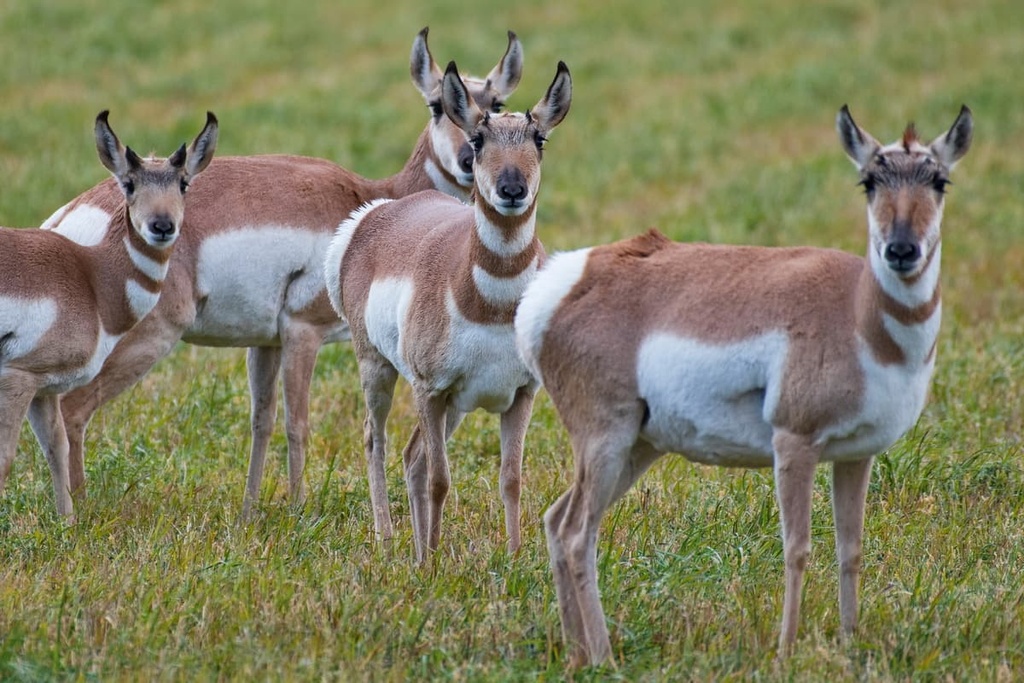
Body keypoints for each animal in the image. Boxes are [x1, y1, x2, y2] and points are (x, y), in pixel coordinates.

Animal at [1, 110, 218, 517]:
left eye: (183, 184)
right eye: (129, 184)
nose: (162, 226)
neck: (91, 278)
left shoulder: (44, 387)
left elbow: (56, 448)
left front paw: (67, 524)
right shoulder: (17, 378)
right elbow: (6, 459)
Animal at [39, 29, 524, 520]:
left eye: (498, 104)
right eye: (437, 105)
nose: (468, 162)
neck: (373, 197)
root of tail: (67, 220)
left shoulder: (266, 342)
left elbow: (262, 420)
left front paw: (250, 509)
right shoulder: (302, 331)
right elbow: (298, 423)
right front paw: (300, 510)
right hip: (149, 337)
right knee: (75, 409)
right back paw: (82, 510)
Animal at [325, 60, 572, 561]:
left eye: (539, 139)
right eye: (478, 140)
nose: (512, 189)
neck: (494, 308)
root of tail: (374, 216)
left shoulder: (520, 394)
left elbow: (511, 479)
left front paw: (514, 558)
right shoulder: (429, 390)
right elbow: (441, 479)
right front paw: (434, 567)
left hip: (454, 405)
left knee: (412, 457)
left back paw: (420, 548)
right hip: (379, 369)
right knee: (377, 441)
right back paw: (391, 540)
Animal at [515, 105, 972, 666]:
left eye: (939, 181)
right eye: (869, 181)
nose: (901, 250)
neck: (859, 314)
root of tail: (558, 283)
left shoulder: (855, 455)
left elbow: (851, 548)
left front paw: (850, 643)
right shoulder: (794, 444)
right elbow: (798, 548)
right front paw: (787, 651)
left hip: (636, 448)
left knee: (557, 522)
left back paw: (577, 654)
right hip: (606, 440)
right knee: (578, 533)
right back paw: (605, 658)